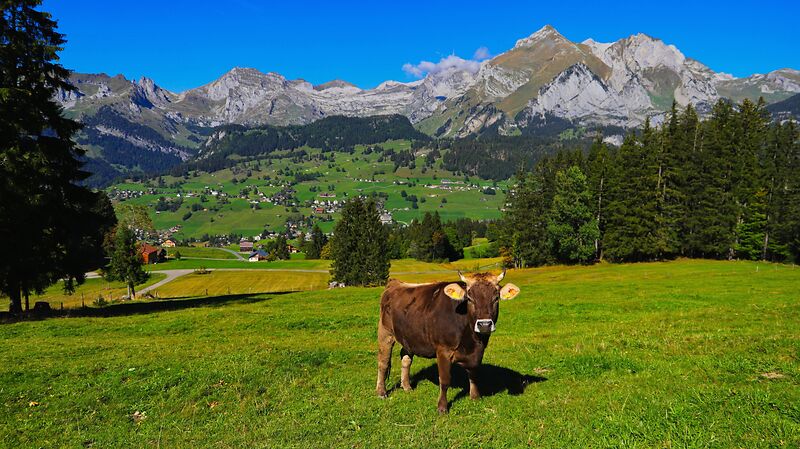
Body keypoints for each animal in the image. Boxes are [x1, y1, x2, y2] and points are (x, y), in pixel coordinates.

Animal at [375, 270, 521, 413]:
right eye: (469, 299)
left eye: (496, 298)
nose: (484, 325)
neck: (472, 341)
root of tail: (395, 283)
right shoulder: (443, 350)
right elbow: (445, 380)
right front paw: (442, 407)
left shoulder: (478, 352)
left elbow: (473, 374)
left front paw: (475, 397)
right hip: (385, 333)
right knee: (383, 363)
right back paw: (381, 392)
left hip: (409, 336)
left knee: (405, 358)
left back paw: (406, 386)